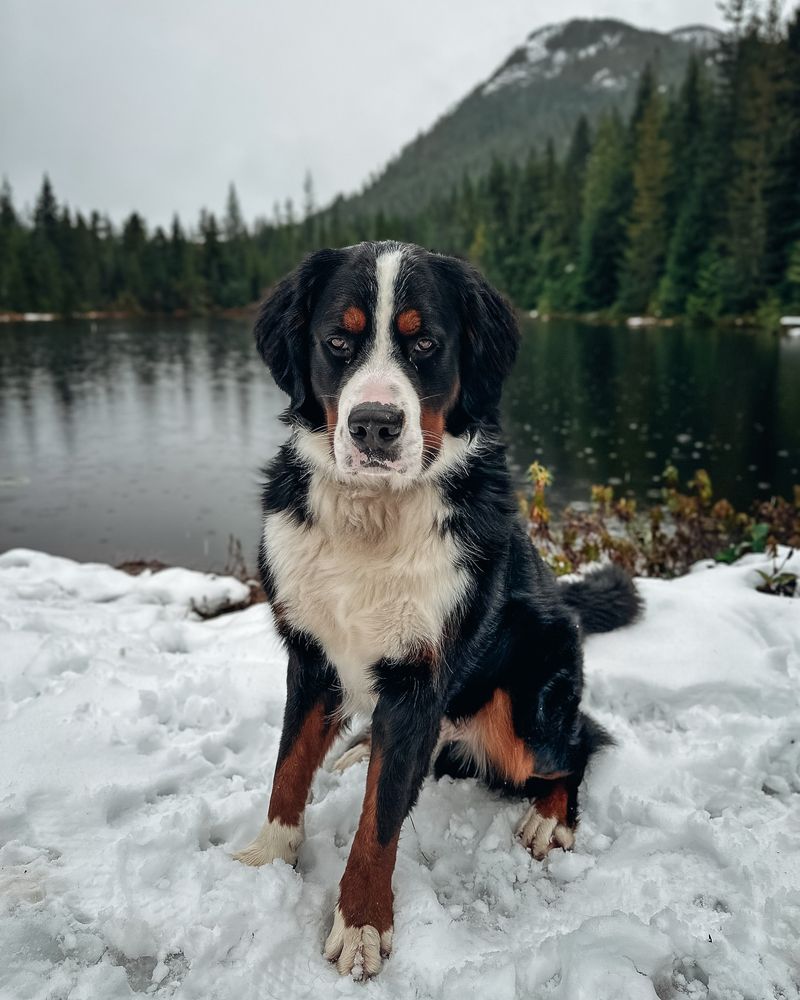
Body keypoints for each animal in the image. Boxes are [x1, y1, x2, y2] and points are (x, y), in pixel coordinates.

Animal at [234, 240, 640, 976]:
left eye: (425, 343)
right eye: (339, 340)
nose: (374, 425)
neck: (372, 519)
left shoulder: (420, 679)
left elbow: (378, 822)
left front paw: (362, 924)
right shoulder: (312, 654)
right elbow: (288, 770)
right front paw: (269, 857)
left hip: (524, 711)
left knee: (578, 743)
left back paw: (550, 818)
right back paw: (360, 750)